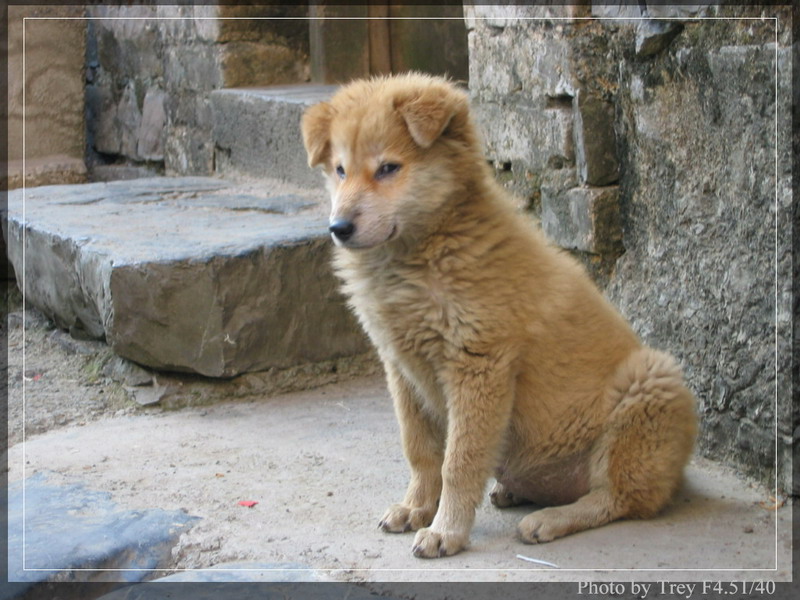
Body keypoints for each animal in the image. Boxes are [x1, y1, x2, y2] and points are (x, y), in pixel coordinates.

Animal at [301, 73, 697, 559]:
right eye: (340, 170)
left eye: (389, 168)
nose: (339, 228)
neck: (422, 253)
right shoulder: (400, 366)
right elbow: (420, 449)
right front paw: (416, 506)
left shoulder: (479, 365)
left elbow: (459, 460)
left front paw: (445, 530)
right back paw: (515, 493)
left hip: (647, 389)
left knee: (616, 498)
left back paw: (550, 519)